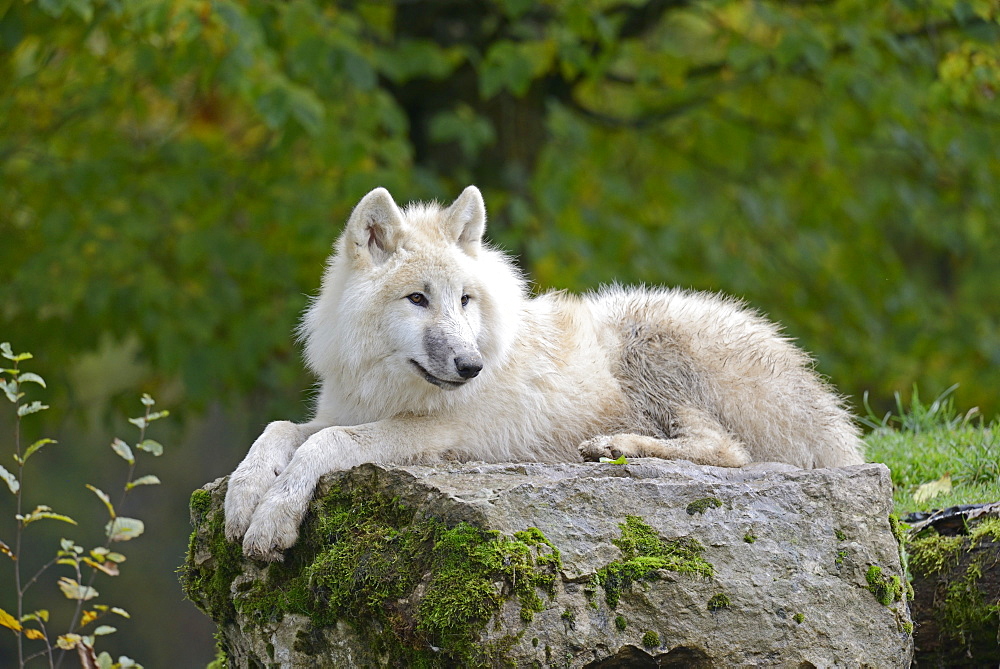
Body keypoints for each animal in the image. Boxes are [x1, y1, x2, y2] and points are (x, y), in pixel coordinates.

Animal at [223, 185, 864, 560]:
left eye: (465, 300)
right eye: (417, 299)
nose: (472, 366)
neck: (388, 385)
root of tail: (830, 414)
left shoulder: (436, 432)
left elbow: (326, 442)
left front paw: (273, 518)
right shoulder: (348, 411)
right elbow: (280, 431)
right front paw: (244, 498)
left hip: (647, 336)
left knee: (727, 450)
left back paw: (615, 447)